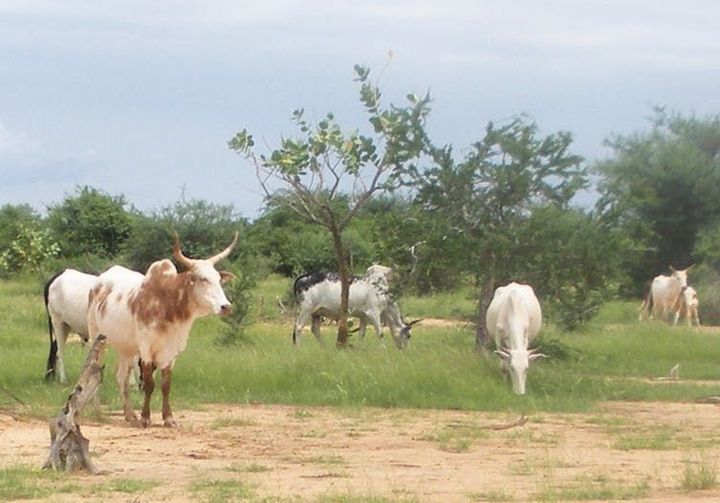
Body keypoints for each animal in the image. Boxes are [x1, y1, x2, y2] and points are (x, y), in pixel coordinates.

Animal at [86, 231, 235, 426]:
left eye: (218, 279)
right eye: (203, 279)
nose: (226, 306)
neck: (168, 306)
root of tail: (98, 282)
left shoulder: (172, 352)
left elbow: (166, 385)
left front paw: (168, 418)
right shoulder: (146, 349)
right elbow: (149, 384)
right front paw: (145, 418)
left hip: (124, 347)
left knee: (121, 377)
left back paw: (129, 414)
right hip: (97, 338)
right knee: (95, 372)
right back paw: (97, 410)